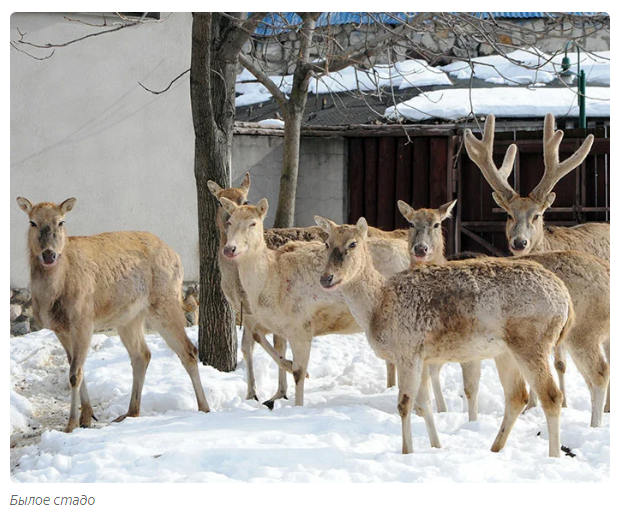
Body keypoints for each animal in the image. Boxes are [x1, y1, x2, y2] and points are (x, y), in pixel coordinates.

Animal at [15, 197, 210, 432]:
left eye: (61, 221)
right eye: (32, 222)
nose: (48, 254)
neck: (51, 299)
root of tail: (177, 256)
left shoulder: (83, 319)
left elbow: (74, 374)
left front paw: (71, 425)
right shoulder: (59, 328)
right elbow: (76, 369)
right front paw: (86, 417)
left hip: (164, 301)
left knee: (188, 350)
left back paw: (204, 408)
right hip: (129, 317)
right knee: (142, 354)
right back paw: (130, 412)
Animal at [318, 215, 572, 460]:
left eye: (353, 243)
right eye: (327, 243)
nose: (326, 278)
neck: (378, 306)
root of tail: (566, 300)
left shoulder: (407, 350)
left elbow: (404, 404)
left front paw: (407, 451)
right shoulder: (422, 357)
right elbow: (424, 405)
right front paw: (436, 445)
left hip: (532, 341)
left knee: (551, 396)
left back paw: (553, 455)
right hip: (505, 351)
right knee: (517, 396)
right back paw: (495, 447)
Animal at [398, 201, 608, 428]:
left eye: (437, 224)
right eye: (410, 223)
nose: (420, 248)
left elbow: (470, 386)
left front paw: (470, 420)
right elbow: (433, 371)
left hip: (583, 331)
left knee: (600, 373)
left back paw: (595, 423)